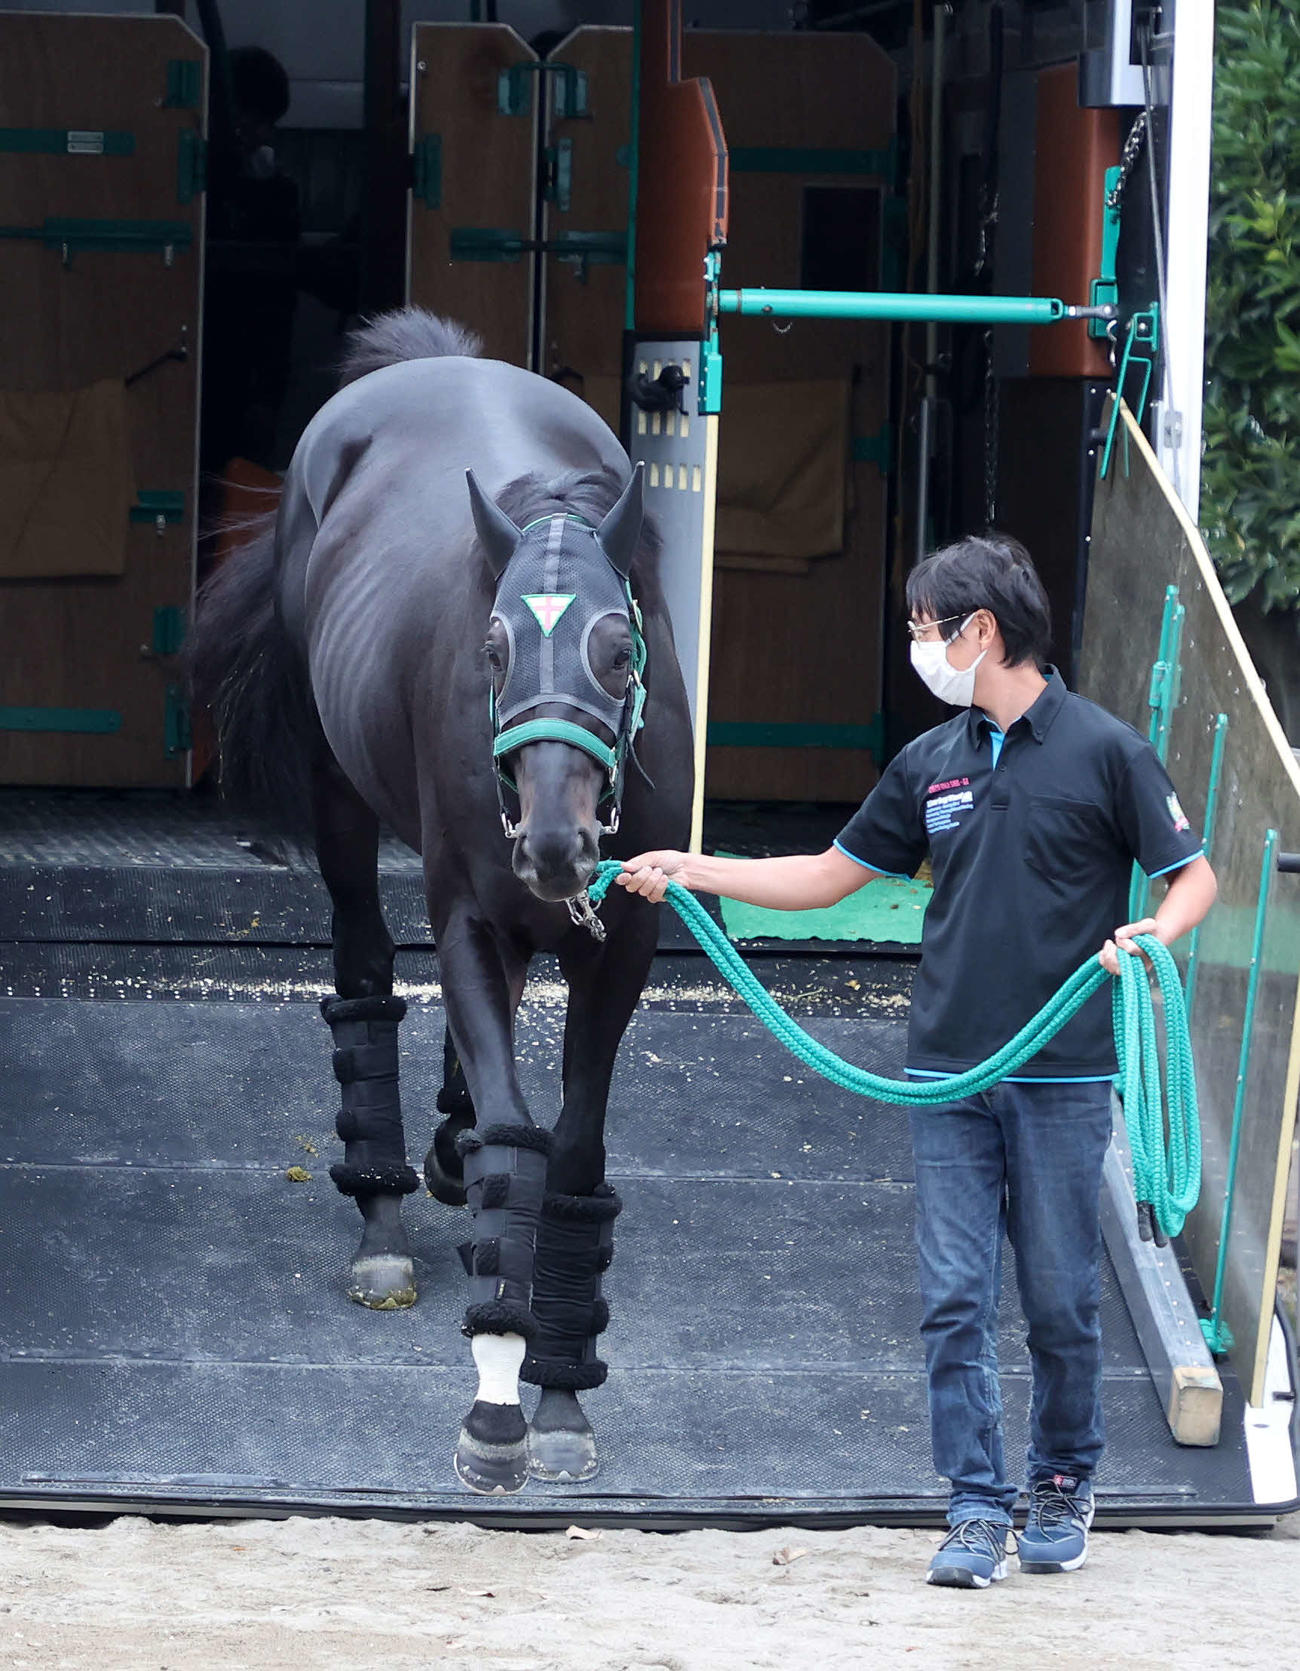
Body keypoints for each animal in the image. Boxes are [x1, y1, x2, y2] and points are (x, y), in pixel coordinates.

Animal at [189, 308, 693, 1493]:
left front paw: (561, 1395)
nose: (554, 844)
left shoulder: (625, 940)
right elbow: (518, 1140)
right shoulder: (466, 913)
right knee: (368, 972)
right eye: (495, 647)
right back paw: (384, 1214)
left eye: (619, 648)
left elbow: (574, 1153)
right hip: (338, 794)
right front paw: (502, 1399)